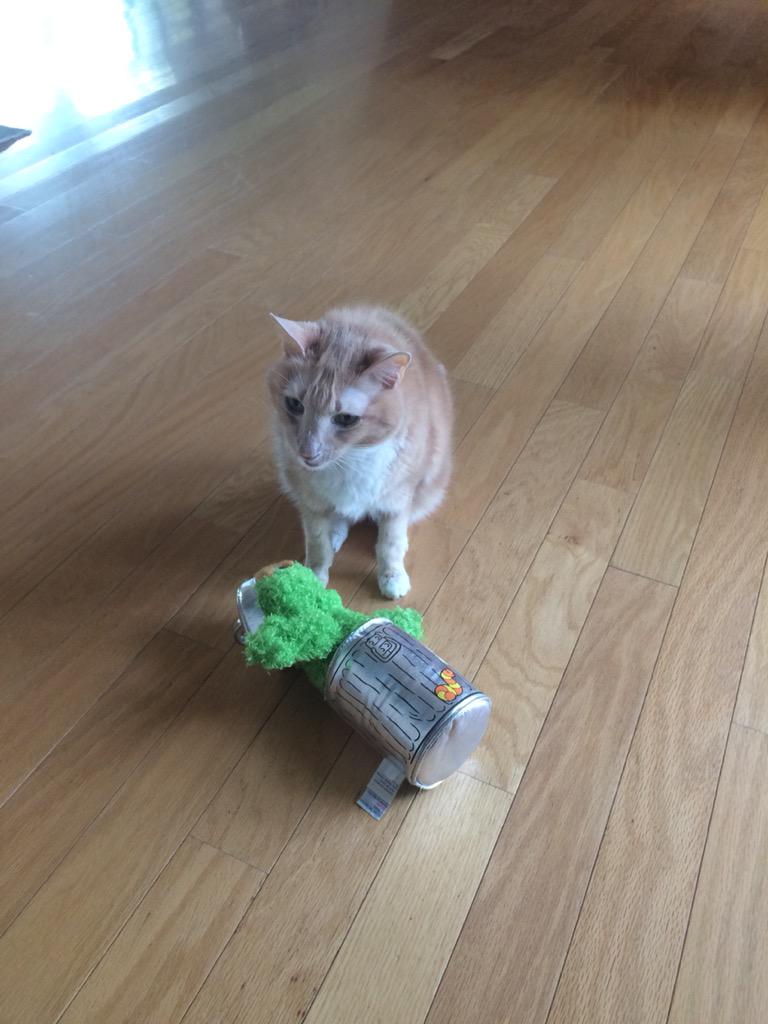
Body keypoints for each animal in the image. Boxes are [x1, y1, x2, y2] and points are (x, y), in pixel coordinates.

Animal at [268, 301, 454, 598]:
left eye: (346, 419)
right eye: (295, 405)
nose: (307, 452)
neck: (350, 459)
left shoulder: (396, 499)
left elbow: (389, 543)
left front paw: (392, 575)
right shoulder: (309, 500)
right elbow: (317, 542)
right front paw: (314, 578)